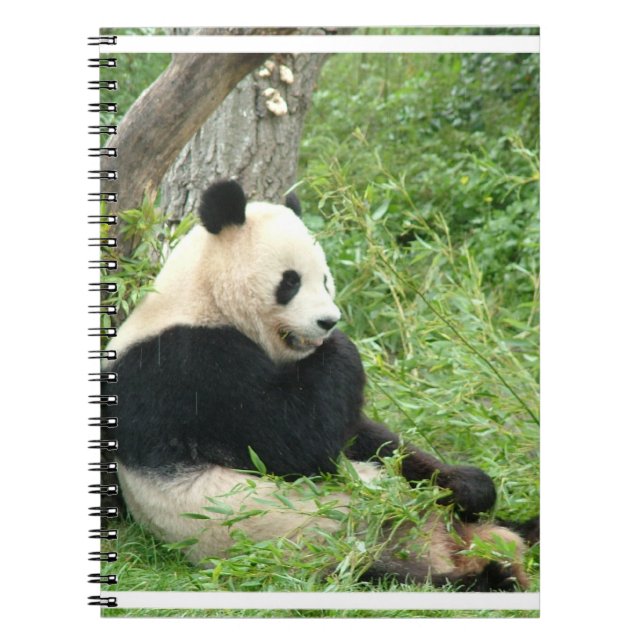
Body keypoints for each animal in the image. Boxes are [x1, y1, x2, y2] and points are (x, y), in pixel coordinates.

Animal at [103, 179, 531, 591]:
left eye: (325, 279)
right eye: (290, 281)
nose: (328, 321)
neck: (203, 298)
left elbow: (367, 437)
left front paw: (467, 484)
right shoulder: (190, 369)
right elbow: (294, 439)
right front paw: (340, 347)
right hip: (332, 550)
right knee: (398, 575)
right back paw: (491, 576)